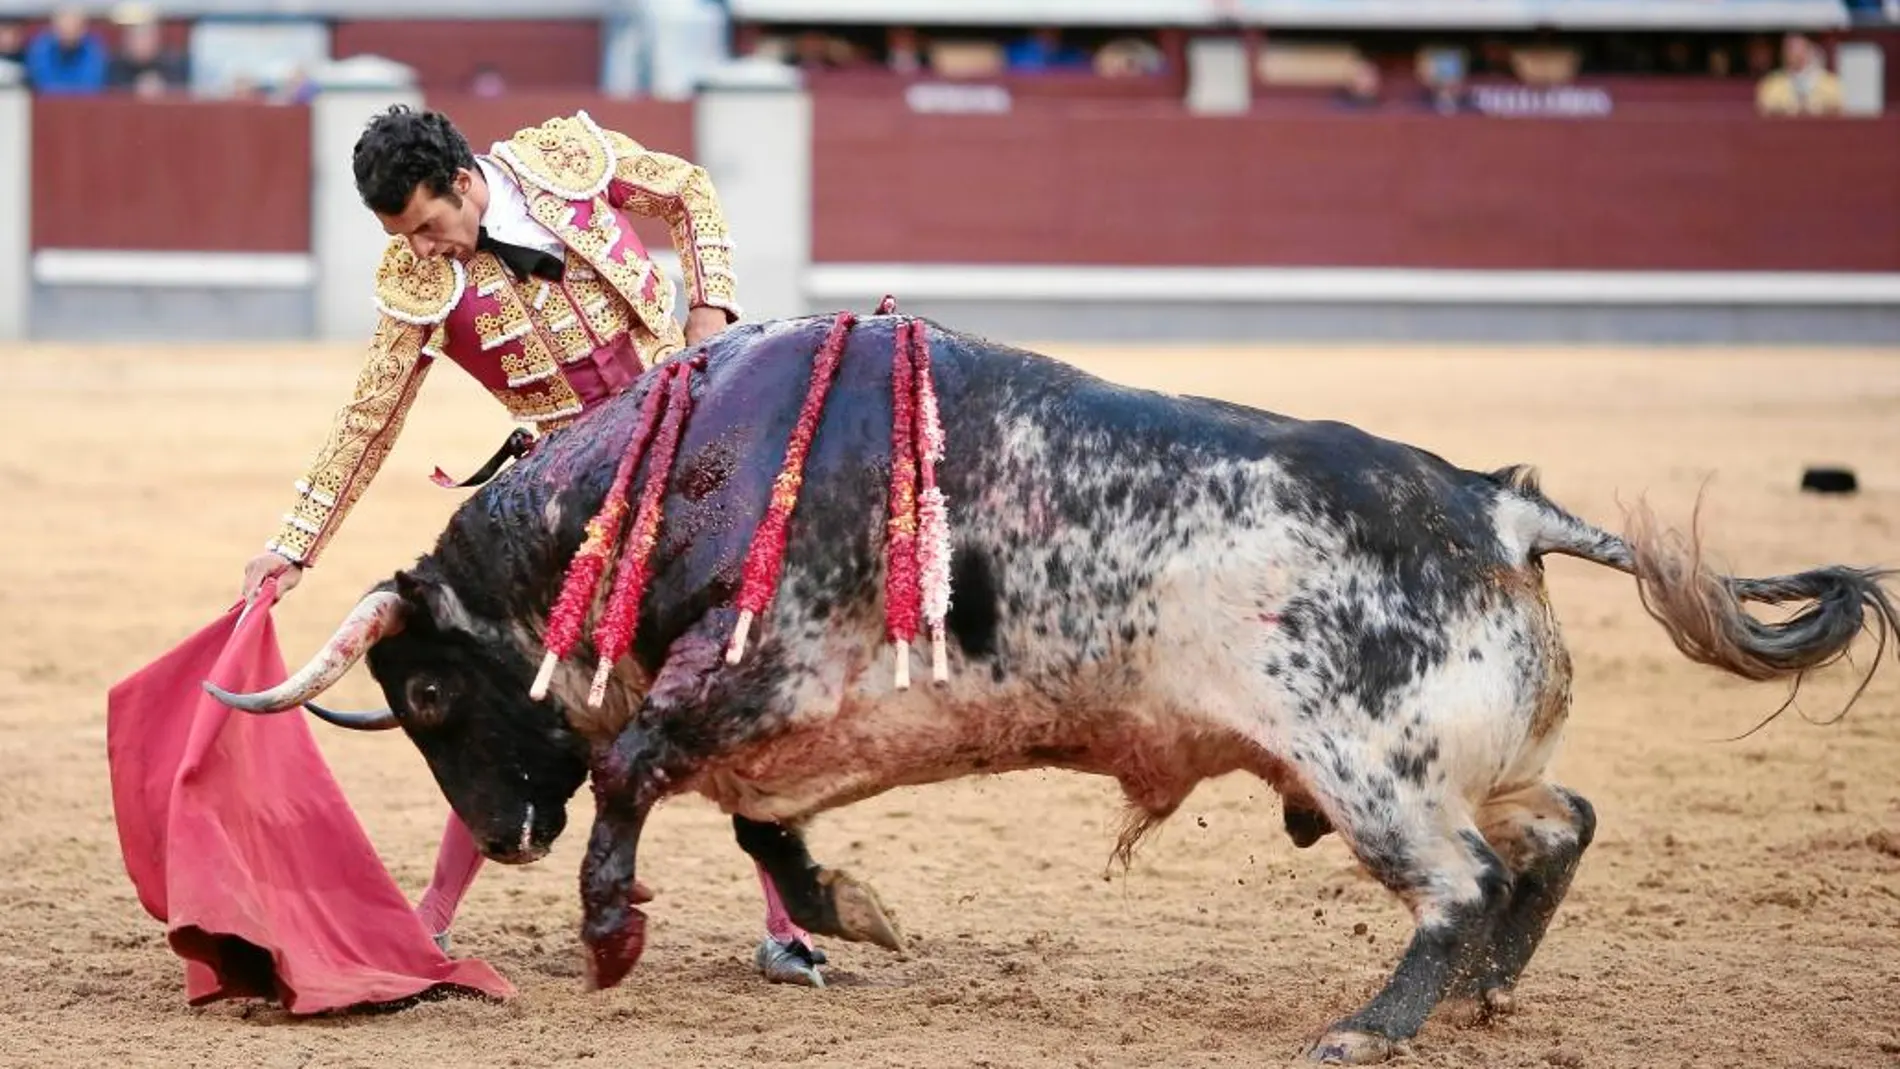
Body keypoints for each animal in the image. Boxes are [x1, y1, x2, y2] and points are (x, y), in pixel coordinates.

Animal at [200, 311, 1892, 1063]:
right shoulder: (798, 728)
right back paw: (1488, 993)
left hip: (1373, 772)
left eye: (427, 696)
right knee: (1563, 826)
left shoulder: (754, 676)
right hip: (1477, 755)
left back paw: (1375, 1022)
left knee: (1463, 878)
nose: (505, 835)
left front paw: (614, 936)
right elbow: (757, 829)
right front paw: (851, 913)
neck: (688, 466)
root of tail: (1497, 503)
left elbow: (637, 771)